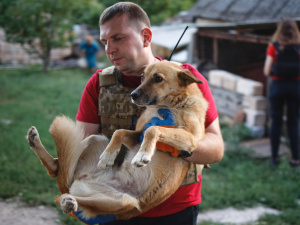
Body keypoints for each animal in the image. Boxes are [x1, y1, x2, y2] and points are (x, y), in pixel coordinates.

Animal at [26, 60, 209, 221]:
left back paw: (67, 202)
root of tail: (82, 179)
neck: (169, 105)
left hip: (121, 201)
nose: (133, 95)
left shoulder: (191, 138)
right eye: (142, 77)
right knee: (57, 175)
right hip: (95, 140)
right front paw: (108, 156)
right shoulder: (136, 135)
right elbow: (120, 132)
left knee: (63, 192)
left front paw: (142, 154)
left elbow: (153, 129)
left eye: (158, 78)